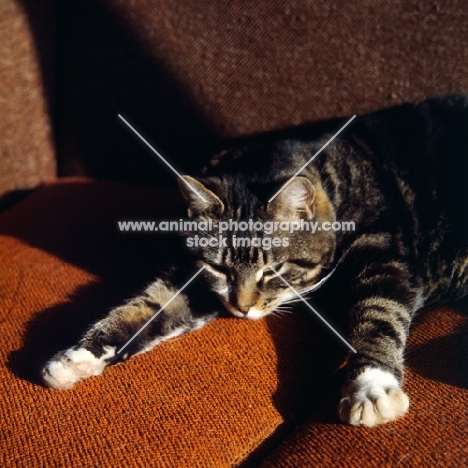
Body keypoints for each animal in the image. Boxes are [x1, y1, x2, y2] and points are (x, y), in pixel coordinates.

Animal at [41, 94, 468, 428]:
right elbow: (146, 306)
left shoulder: (381, 251)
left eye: (272, 270)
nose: (242, 309)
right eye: (220, 268)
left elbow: (377, 312)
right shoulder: (193, 276)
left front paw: (371, 385)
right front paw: (78, 356)